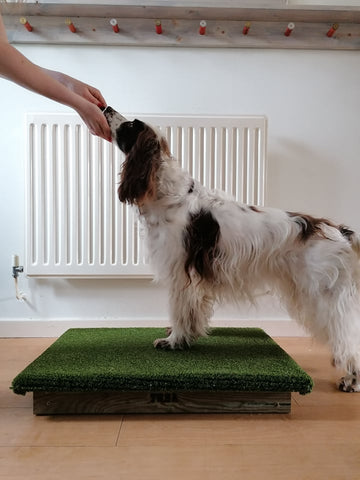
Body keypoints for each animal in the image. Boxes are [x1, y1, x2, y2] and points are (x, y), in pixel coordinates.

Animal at [104, 105, 360, 390]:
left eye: (130, 125)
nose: (106, 108)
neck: (167, 194)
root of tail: (340, 231)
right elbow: (193, 312)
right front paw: (188, 336)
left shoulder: (180, 272)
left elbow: (179, 311)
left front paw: (174, 341)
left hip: (325, 296)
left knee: (348, 335)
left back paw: (350, 379)